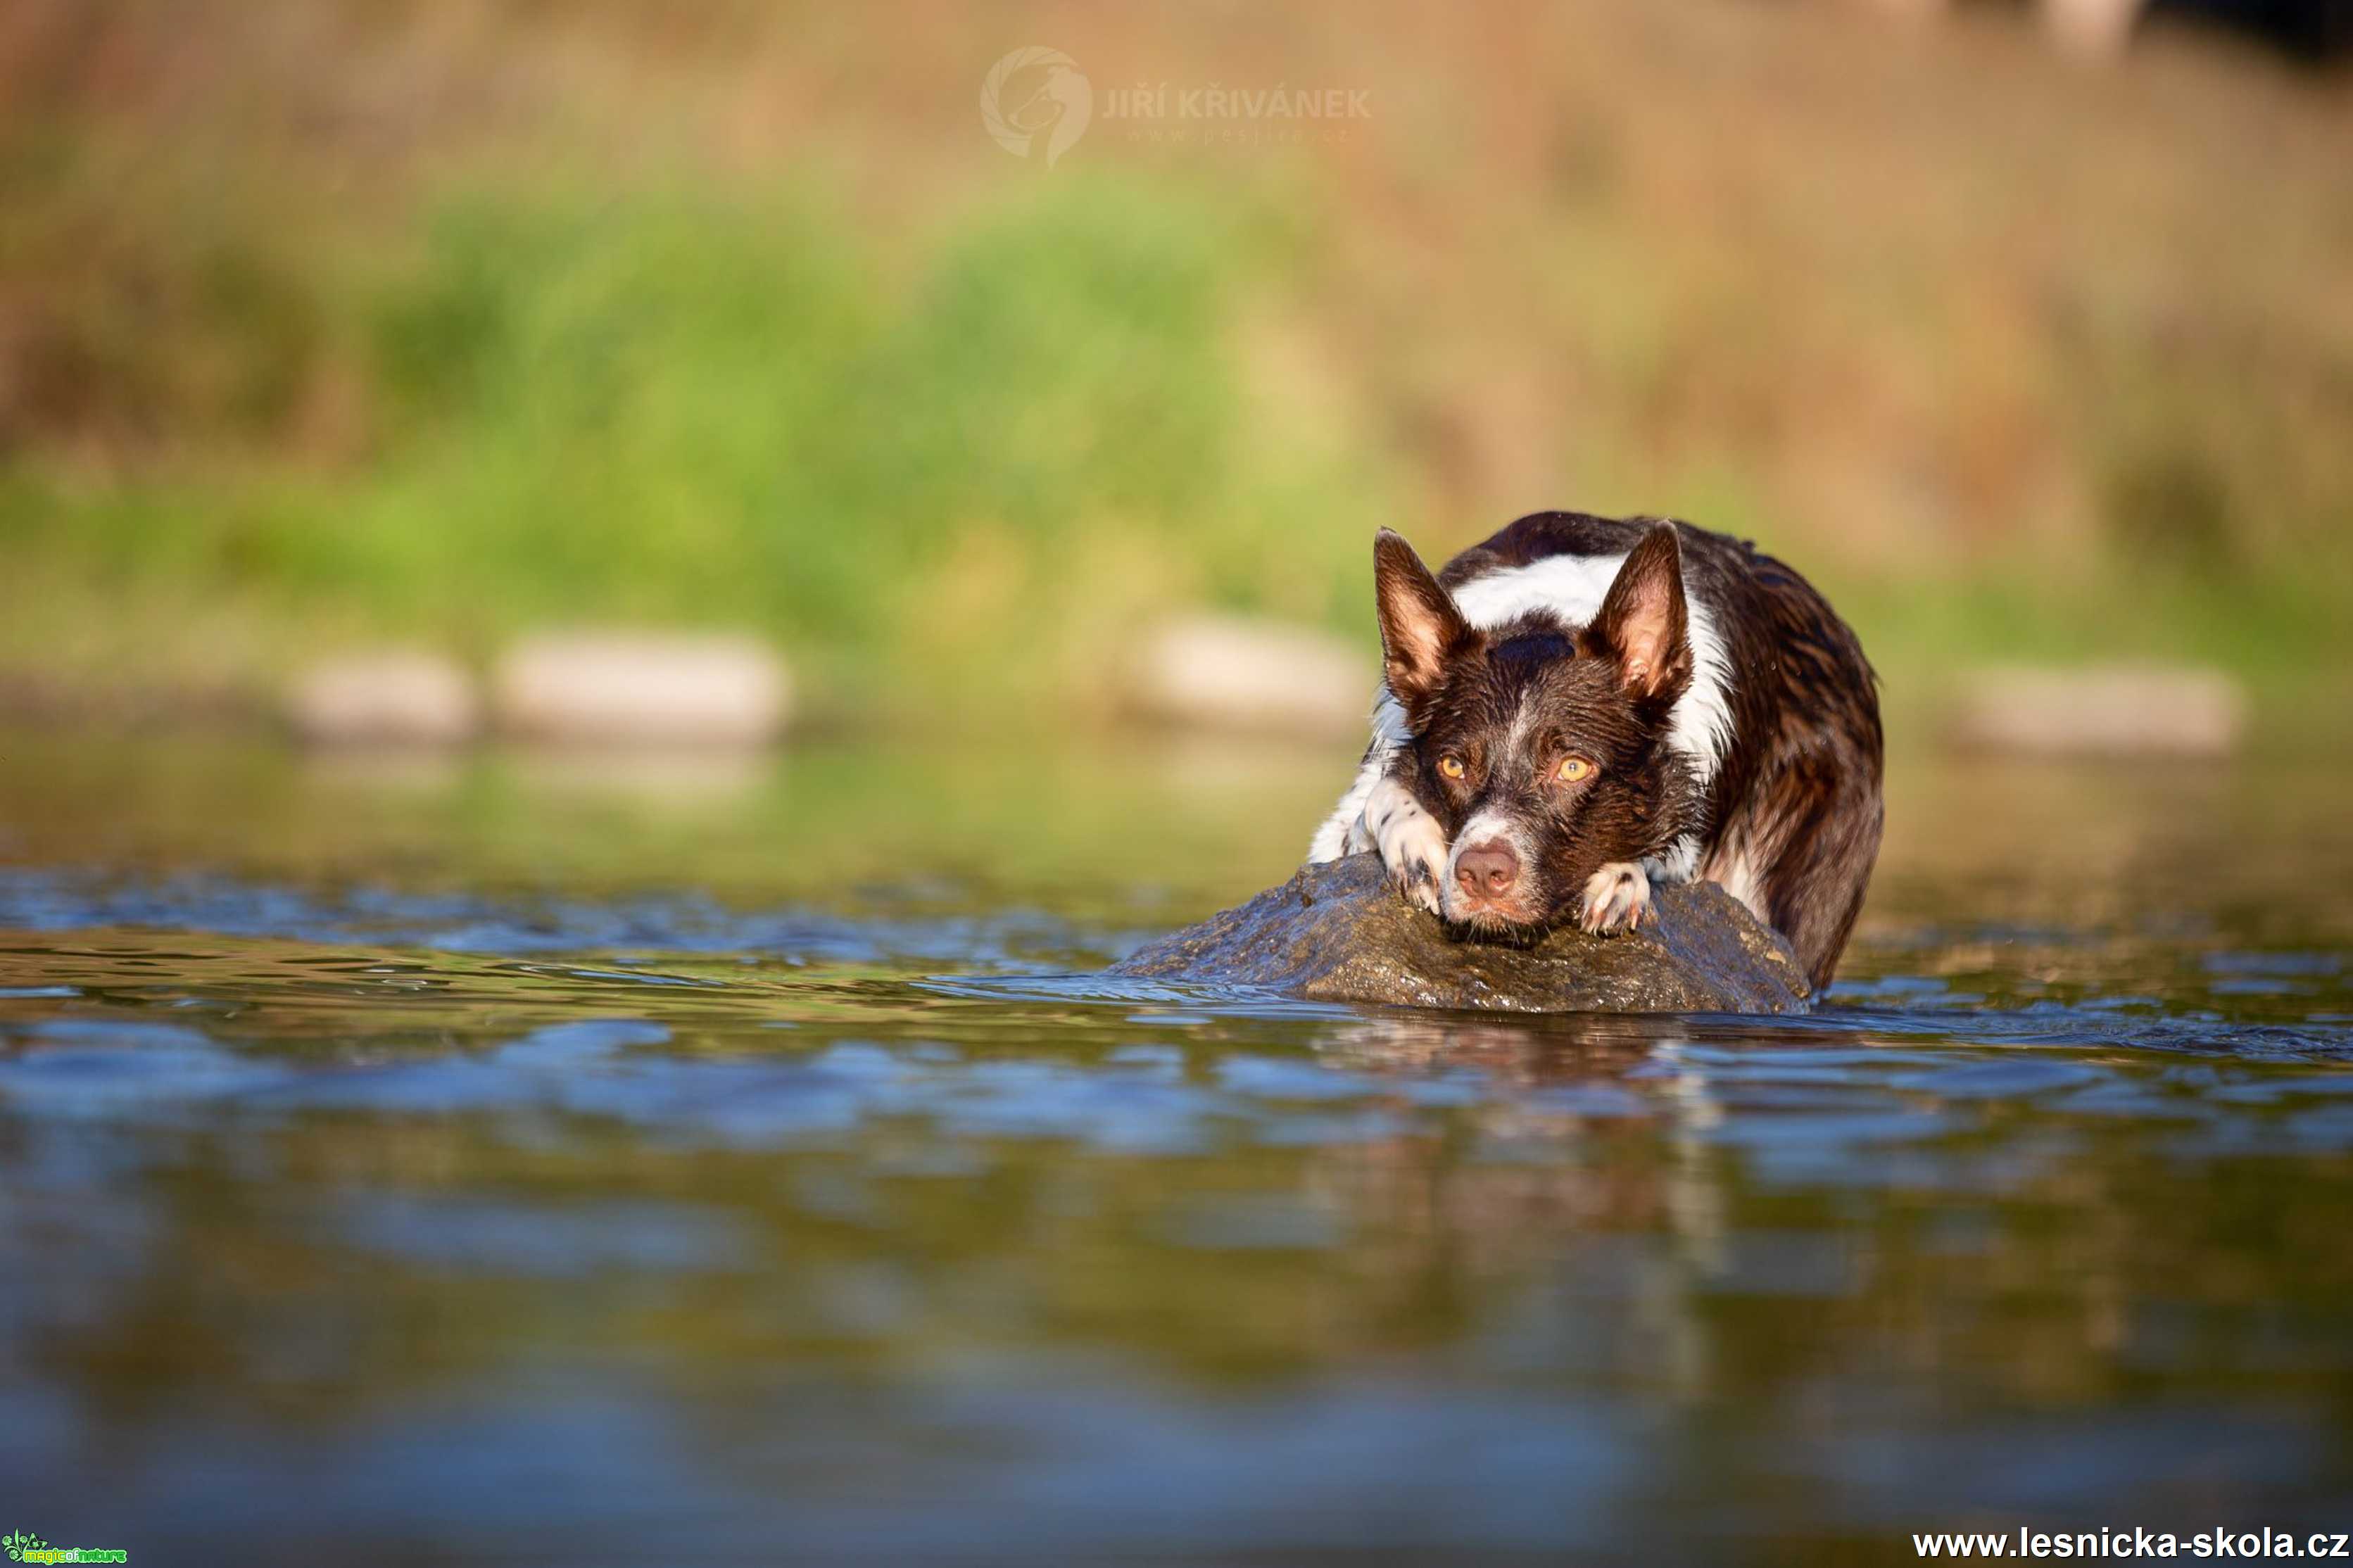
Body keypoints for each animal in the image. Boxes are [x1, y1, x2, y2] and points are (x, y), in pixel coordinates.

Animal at [1318, 506, 1882, 984]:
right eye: (1454, 766)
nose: (1480, 873)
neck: (1543, 615)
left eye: (1573, 767)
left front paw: (1621, 877)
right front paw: (1414, 841)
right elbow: (1377, 800)